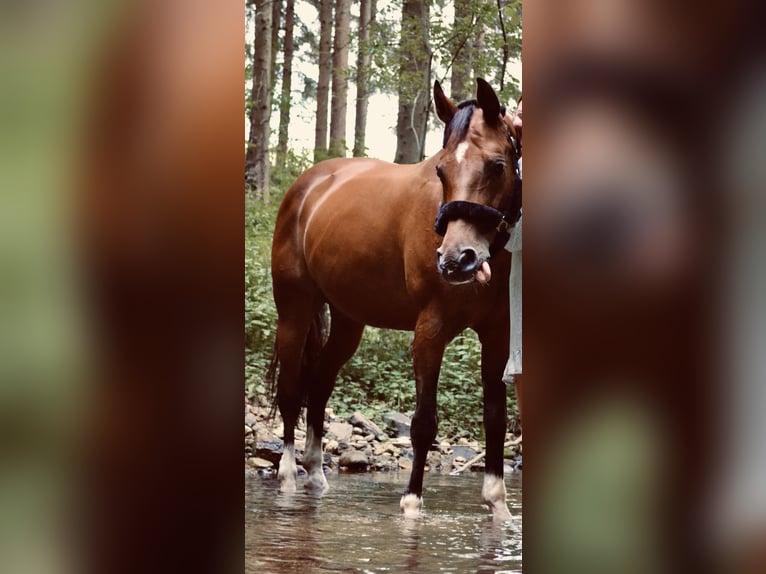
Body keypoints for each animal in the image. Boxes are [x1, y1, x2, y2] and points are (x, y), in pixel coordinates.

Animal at [268, 80, 520, 520]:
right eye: (440, 169)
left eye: (497, 165)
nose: (456, 259)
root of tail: (306, 187)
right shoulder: (430, 331)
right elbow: (423, 422)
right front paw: (412, 504)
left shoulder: (497, 335)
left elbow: (494, 418)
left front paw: (498, 507)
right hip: (294, 312)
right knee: (290, 391)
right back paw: (287, 477)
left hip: (348, 321)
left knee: (319, 385)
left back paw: (315, 475)